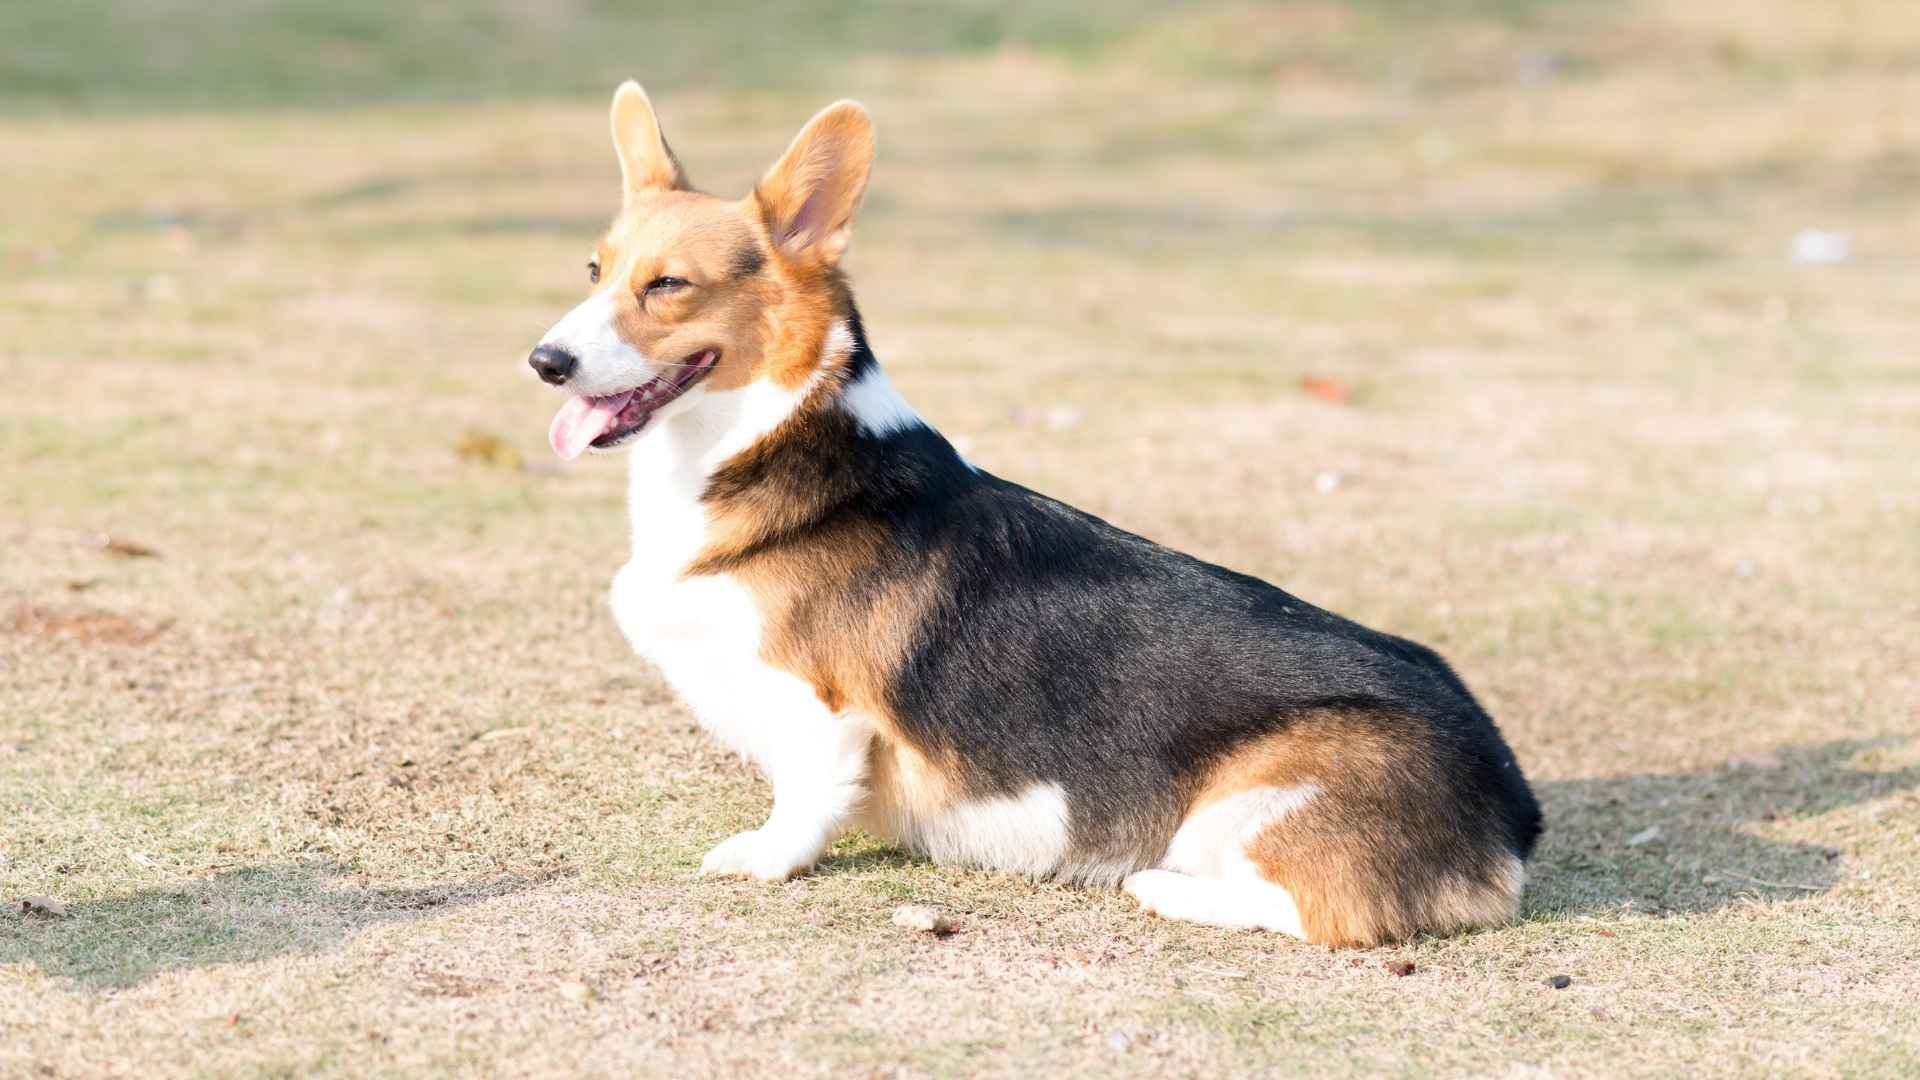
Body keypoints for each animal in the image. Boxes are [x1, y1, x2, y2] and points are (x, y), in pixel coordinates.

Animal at [529, 84, 1543, 941]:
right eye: (594, 269)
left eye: (667, 285)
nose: (544, 361)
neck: (761, 441)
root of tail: (1509, 806)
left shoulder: (821, 707)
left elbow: (804, 798)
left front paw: (763, 858)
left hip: (1255, 801)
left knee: (1321, 911)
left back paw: (1163, 884)